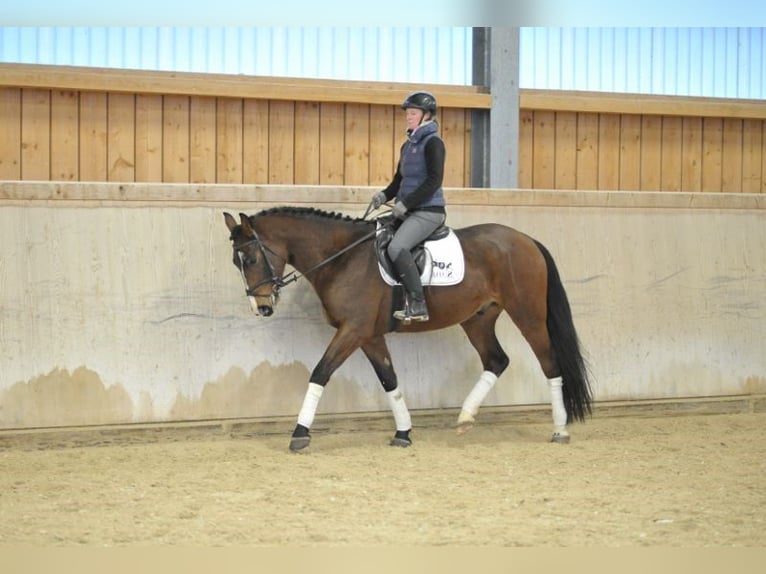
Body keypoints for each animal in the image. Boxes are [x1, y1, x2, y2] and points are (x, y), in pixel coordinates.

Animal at [222, 207, 592, 454]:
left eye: (251, 259)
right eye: (235, 263)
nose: (261, 308)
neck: (342, 258)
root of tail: (527, 240)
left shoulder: (352, 331)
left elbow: (320, 373)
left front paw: (300, 433)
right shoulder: (369, 336)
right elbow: (390, 380)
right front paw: (403, 433)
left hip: (528, 314)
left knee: (549, 363)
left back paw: (560, 430)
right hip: (478, 319)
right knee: (497, 360)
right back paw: (465, 417)